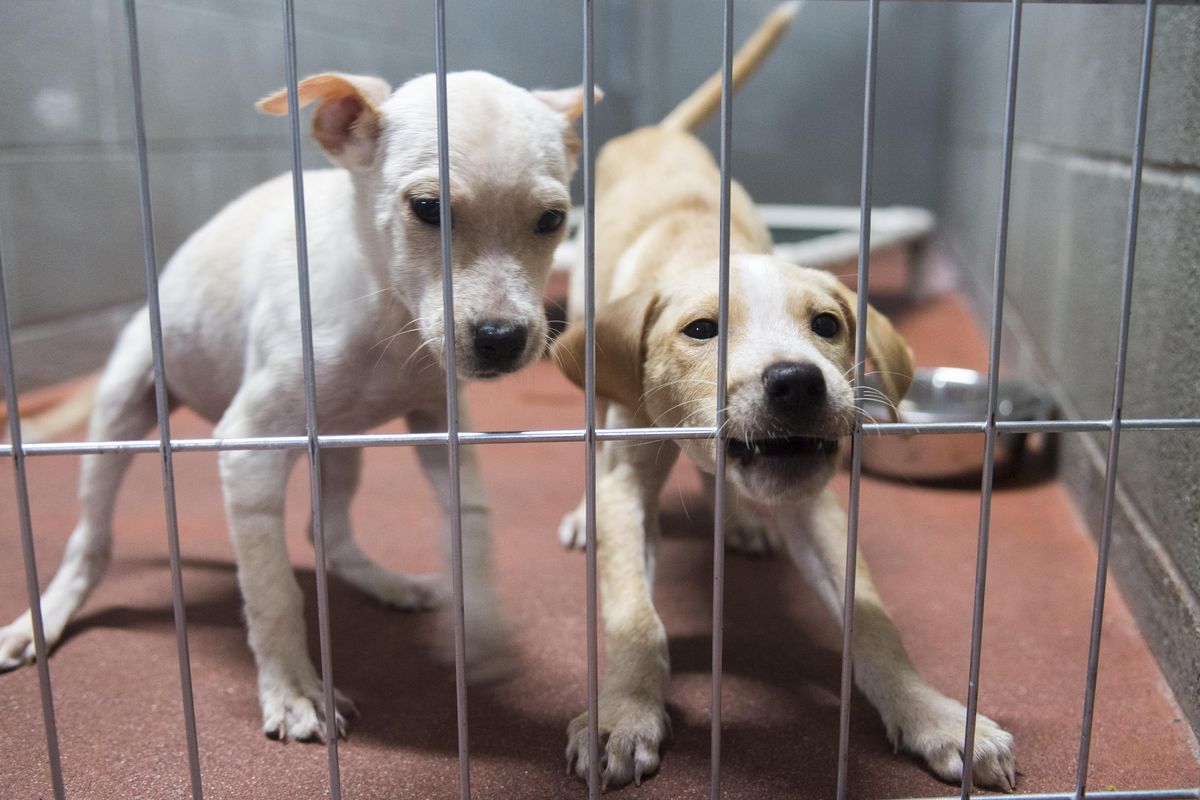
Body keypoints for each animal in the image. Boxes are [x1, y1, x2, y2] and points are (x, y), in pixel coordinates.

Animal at [549, 4, 1012, 796]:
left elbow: (873, 619)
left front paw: (934, 714)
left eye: (826, 325)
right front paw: (626, 712)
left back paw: (742, 519)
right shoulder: (629, 479)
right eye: (700, 330)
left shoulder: (817, 504)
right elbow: (634, 615)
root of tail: (656, 131)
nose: (797, 382)